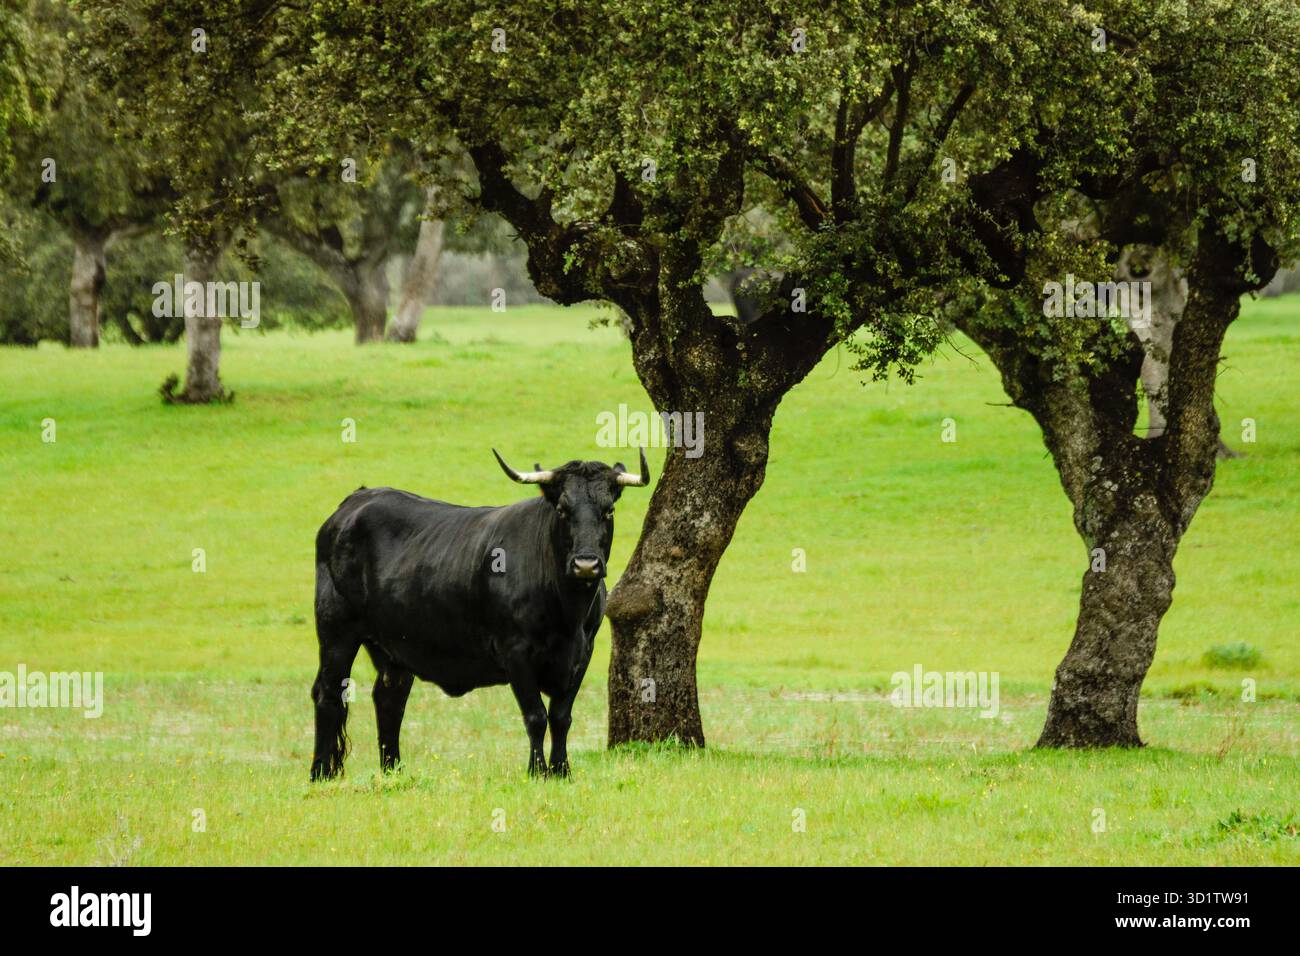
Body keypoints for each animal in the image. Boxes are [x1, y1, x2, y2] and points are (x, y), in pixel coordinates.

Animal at [309, 447, 649, 780]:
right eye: (563, 510)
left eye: (609, 511)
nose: (586, 565)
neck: (567, 615)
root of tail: (356, 500)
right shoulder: (515, 652)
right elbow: (536, 716)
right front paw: (537, 771)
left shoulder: (583, 653)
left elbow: (561, 716)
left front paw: (562, 771)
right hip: (336, 631)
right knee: (328, 693)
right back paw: (321, 772)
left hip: (393, 645)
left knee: (389, 697)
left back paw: (393, 770)